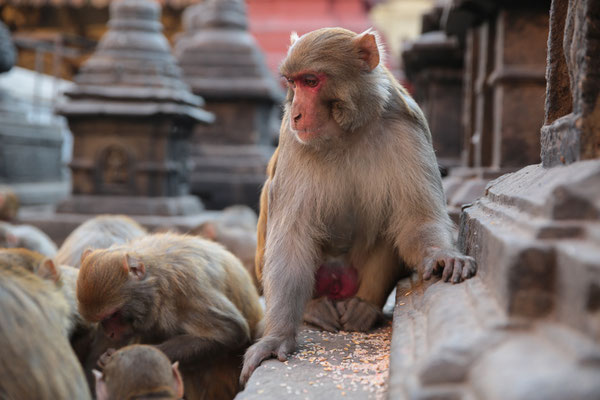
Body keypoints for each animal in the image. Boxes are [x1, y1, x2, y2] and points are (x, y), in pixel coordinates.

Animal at [77, 233, 262, 398]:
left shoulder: (186, 288)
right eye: (102, 320)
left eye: (114, 314)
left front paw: (114, 357)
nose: (110, 333)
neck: (156, 281)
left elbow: (230, 331)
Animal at [241, 26, 476, 382]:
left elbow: (417, 219)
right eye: (292, 83)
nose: (296, 113)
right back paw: (313, 308)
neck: (346, 132)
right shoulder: (293, 140)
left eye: (311, 81)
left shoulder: (406, 126)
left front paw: (442, 255)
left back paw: (365, 307)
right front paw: (277, 337)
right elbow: (291, 239)